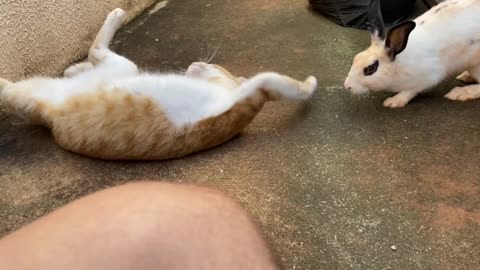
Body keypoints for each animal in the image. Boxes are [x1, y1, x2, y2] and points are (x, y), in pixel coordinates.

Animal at [0, 7, 318, 160]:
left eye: (214, 66)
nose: (195, 63)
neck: (228, 90)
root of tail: (48, 118)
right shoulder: (253, 94)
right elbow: (279, 81)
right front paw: (311, 83)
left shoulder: (252, 95)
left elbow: (281, 82)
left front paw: (309, 84)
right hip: (119, 67)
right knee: (94, 54)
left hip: (118, 67)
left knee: (95, 53)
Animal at [344, 0, 480, 107]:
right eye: (356, 58)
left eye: (371, 68)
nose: (347, 86)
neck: (398, 64)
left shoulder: (427, 78)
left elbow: (409, 91)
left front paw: (393, 101)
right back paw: (465, 76)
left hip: (475, 66)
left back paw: (459, 93)